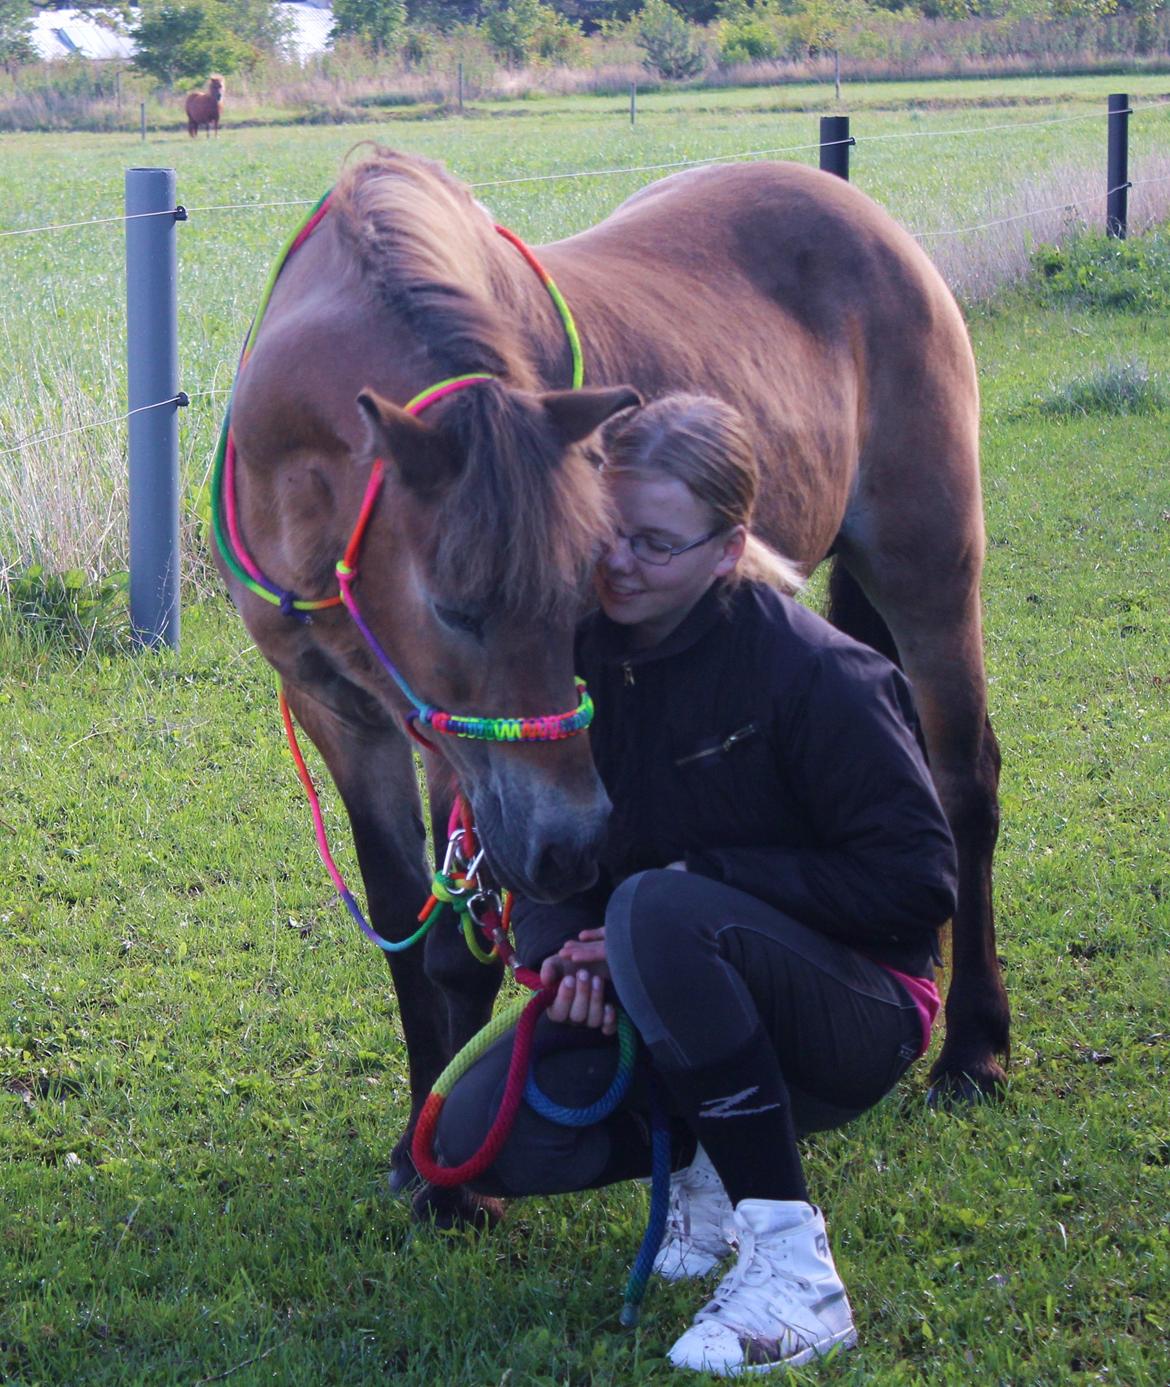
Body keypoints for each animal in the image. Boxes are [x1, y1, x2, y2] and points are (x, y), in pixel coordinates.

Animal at [217, 146, 1003, 1220]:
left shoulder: (465, 761)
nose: (577, 844)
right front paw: (414, 1153)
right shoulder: (345, 715)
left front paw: (452, 1182)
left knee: (964, 790)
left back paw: (974, 1048)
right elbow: (401, 925)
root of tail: (860, 212)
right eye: (455, 605)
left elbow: (455, 951)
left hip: (931, 576)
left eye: (581, 583)